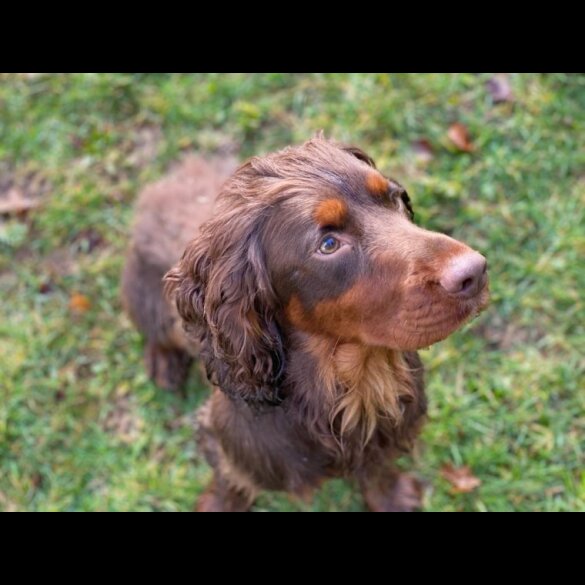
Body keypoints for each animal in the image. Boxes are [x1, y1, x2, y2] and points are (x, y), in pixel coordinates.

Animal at [122, 137, 488, 512]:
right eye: (328, 244)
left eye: (394, 198)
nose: (474, 272)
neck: (352, 381)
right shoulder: (231, 445)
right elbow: (231, 482)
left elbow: (379, 468)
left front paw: (392, 497)